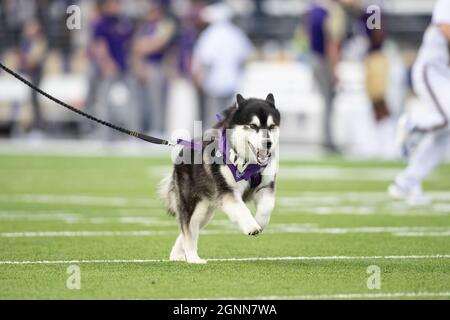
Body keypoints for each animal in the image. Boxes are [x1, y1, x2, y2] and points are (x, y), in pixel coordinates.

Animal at [160, 94, 280, 264]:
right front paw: (251, 226)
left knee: (186, 231)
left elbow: (267, 207)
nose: (268, 143)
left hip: (206, 212)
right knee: (188, 230)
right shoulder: (228, 192)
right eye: (252, 125)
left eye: (272, 126)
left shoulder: (265, 187)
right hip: (194, 205)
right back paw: (193, 258)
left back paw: (176, 254)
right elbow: (241, 209)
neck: (247, 162)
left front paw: (260, 222)